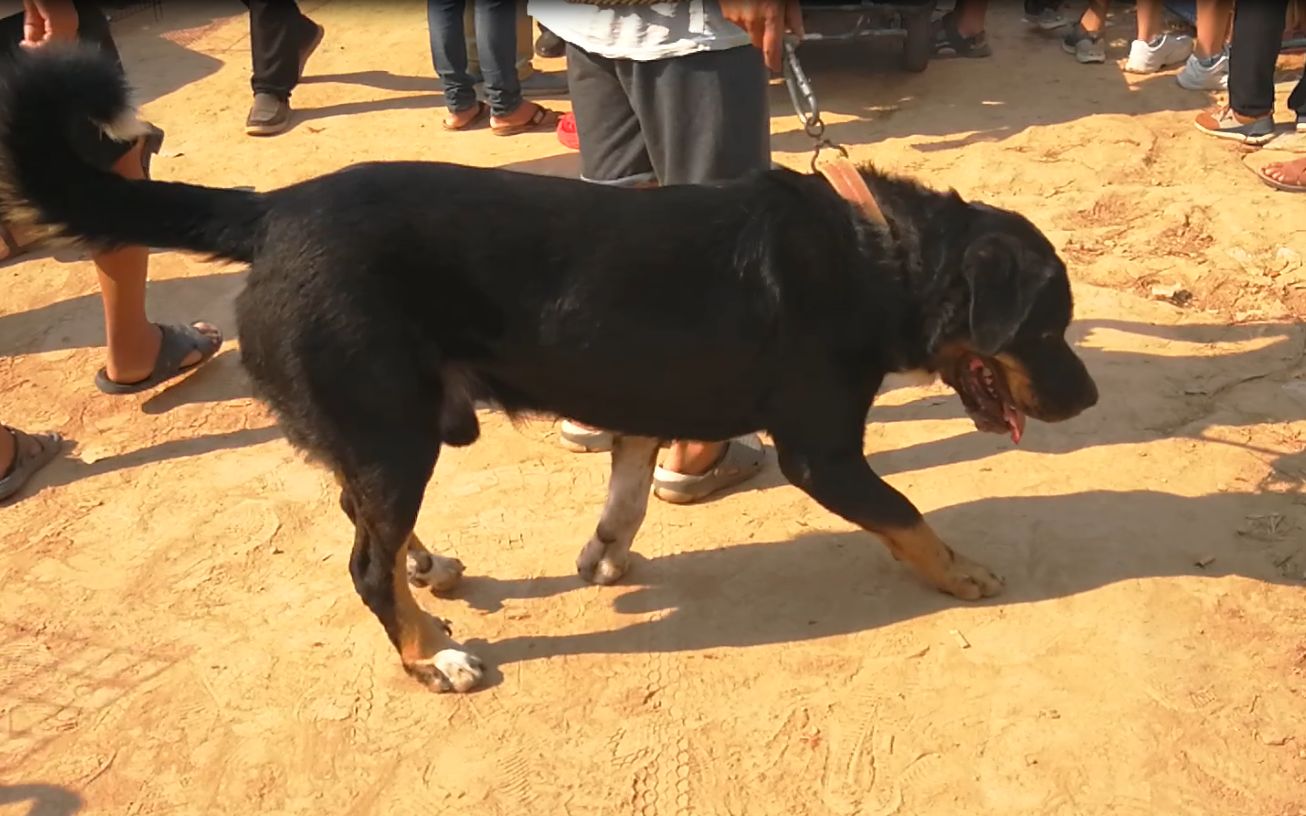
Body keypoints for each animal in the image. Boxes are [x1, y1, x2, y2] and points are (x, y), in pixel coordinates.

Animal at [0, 49, 1097, 689]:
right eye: (1046, 329)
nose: (1087, 399)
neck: (880, 253)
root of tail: (271, 209)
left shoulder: (643, 400)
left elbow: (628, 492)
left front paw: (606, 550)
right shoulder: (821, 451)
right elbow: (905, 512)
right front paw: (960, 571)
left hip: (382, 428)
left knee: (364, 521)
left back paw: (428, 571)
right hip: (394, 428)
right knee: (362, 561)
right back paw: (429, 655)